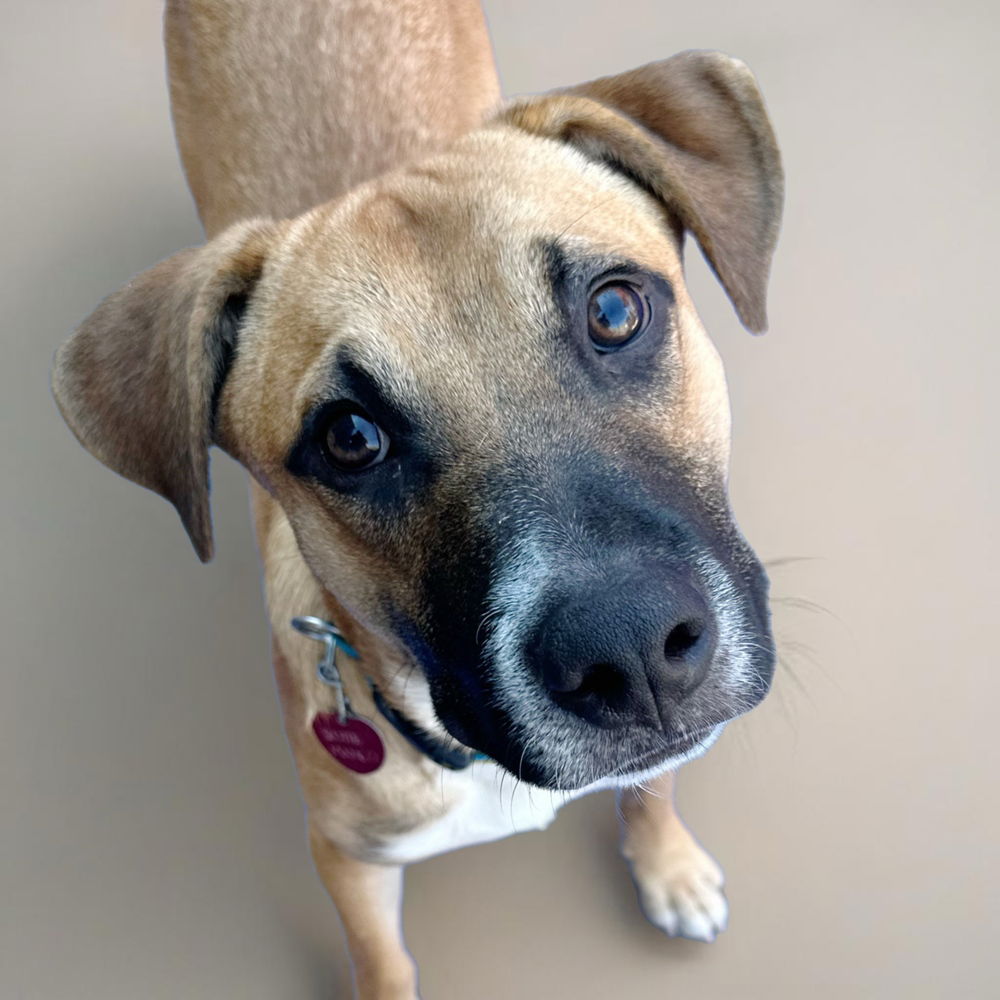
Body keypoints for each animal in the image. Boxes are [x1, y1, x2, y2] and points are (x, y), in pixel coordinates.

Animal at [50, 3, 784, 996]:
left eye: (615, 310)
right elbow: (381, 959)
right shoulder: (346, 859)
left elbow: (656, 781)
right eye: (351, 438)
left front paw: (668, 865)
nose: (630, 649)